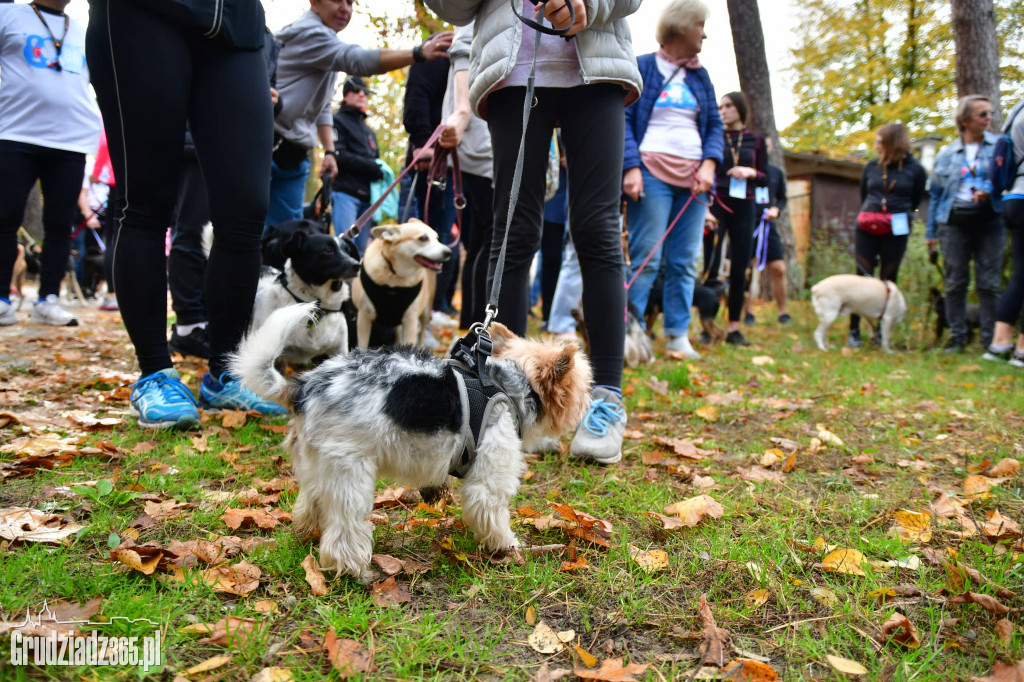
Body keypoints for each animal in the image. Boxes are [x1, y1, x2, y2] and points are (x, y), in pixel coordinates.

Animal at [228, 303, 589, 577]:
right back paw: (356, 571)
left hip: (317, 465)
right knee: (344, 532)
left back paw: (307, 533)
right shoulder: (489, 481)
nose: (587, 404)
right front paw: (507, 546)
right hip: (350, 472)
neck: (511, 385)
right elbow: (494, 516)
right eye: (581, 387)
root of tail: (302, 387)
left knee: (310, 503)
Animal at [350, 220, 450, 348]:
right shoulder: (364, 317)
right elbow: (362, 345)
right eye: (423, 238)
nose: (448, 252)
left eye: (437, 238)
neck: (395, 277)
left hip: (426, 311)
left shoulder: (411, 321)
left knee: (422, 333)